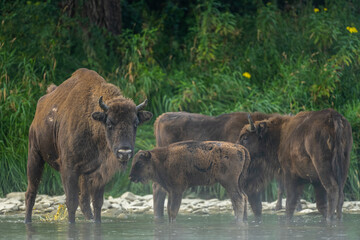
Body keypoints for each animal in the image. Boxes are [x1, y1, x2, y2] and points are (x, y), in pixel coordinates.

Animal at [25, 68, 152, 223]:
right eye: (109, 123)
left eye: (135, 123)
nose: (124, 152)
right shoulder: (69, 169)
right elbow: (71, 202)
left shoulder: (99, 172)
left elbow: (97, 203)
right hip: (34, 155)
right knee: (31, 193)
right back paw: (27, 220)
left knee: (84, 201)